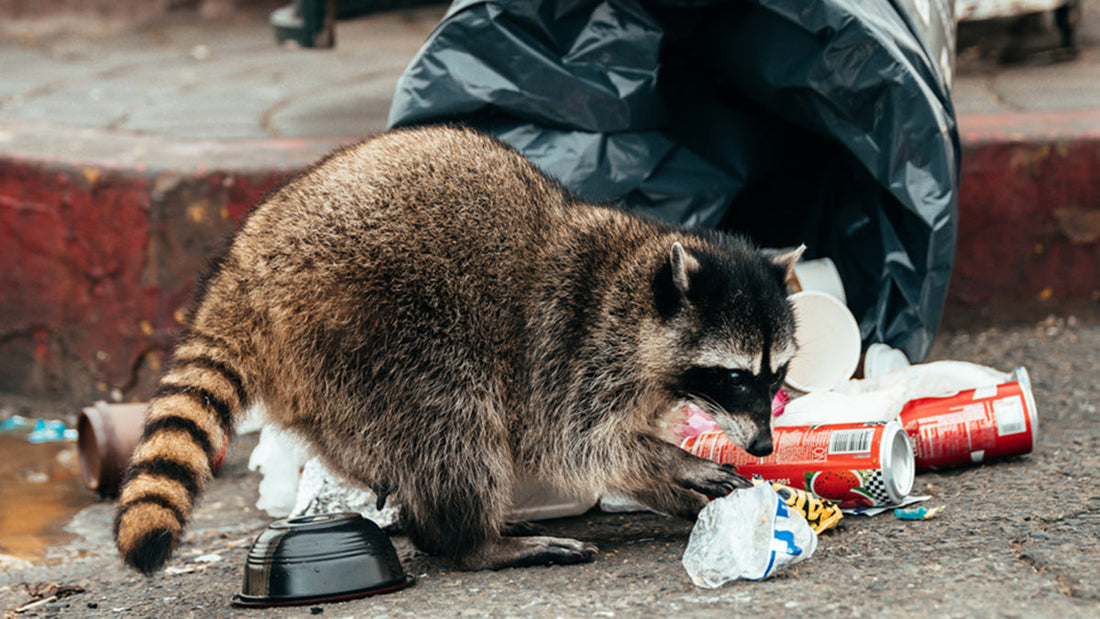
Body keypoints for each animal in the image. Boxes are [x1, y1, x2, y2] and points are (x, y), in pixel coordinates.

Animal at [114, 125, 802, 575]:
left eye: (777, 377)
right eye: (735, 377)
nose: (765, 445)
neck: (636, 283)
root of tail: (247, 268)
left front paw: (675, 487)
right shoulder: (571, 348)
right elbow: (578, 443)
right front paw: (674, 462)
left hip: (326, 374)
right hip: (377, 329)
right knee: (452, 424)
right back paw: (471, 541)